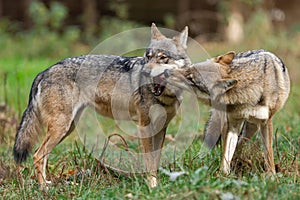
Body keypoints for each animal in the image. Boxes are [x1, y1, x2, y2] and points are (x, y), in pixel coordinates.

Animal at [12, 23, 191, 189]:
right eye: (148, 57)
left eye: (163, 57)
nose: (145, 72)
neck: (165, 95)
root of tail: (45, 71)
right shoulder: (144, 127)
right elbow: (150, 163)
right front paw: (152, 187)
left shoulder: (160, 128)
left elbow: (155, 160)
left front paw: (157, 186)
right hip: (61, 127)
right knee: (37, 154)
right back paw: (43, 188)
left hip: (67, 128)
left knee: (42, 155)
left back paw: (46, 183)